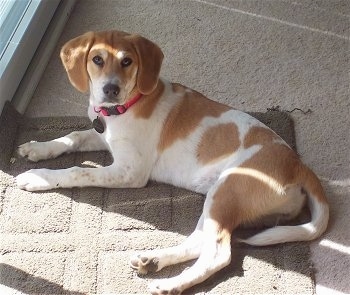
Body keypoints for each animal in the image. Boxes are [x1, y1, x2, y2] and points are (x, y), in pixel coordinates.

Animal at [15, 30, 328, 295]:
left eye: (127, 61)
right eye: (97, 59)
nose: (111, 89)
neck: (124, 108)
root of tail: (299, 165)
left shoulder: (130, 172)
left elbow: (79, 171)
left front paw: (37, 177)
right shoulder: (102, 137)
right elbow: (73, 137)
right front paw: (38, 148)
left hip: (226, 191)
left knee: (218, 254)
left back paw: (170, 284)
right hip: (219, 201)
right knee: (200, 242)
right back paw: (154, 260)